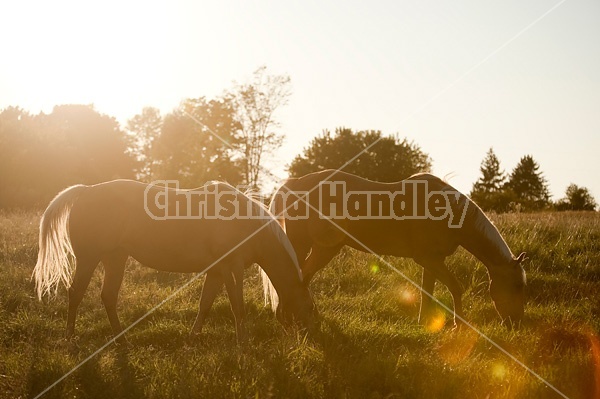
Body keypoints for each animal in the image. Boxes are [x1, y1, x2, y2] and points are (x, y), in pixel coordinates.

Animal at [33, 180, 316, 342]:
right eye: (308, 308)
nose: (307, 340)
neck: (246, 223)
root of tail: (85, 192)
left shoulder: (216, 272)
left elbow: (205, 304)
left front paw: (193, 338)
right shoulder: (231, 268)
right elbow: (238, 307)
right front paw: (243, 344)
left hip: (116, 258)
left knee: (108, 296)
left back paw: (121, 339)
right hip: (89, 259)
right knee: (76, 293)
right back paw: (70, 338)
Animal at [262, 170, 524, 330]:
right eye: (515, 285)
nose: (515, 323)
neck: (449, 211)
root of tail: (295, 183)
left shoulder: (432, 261)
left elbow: (427, 292)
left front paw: (424, 322)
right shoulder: (428, 259)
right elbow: (455, 288)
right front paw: (458, 325)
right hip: (314, 247)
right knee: (296, 279)